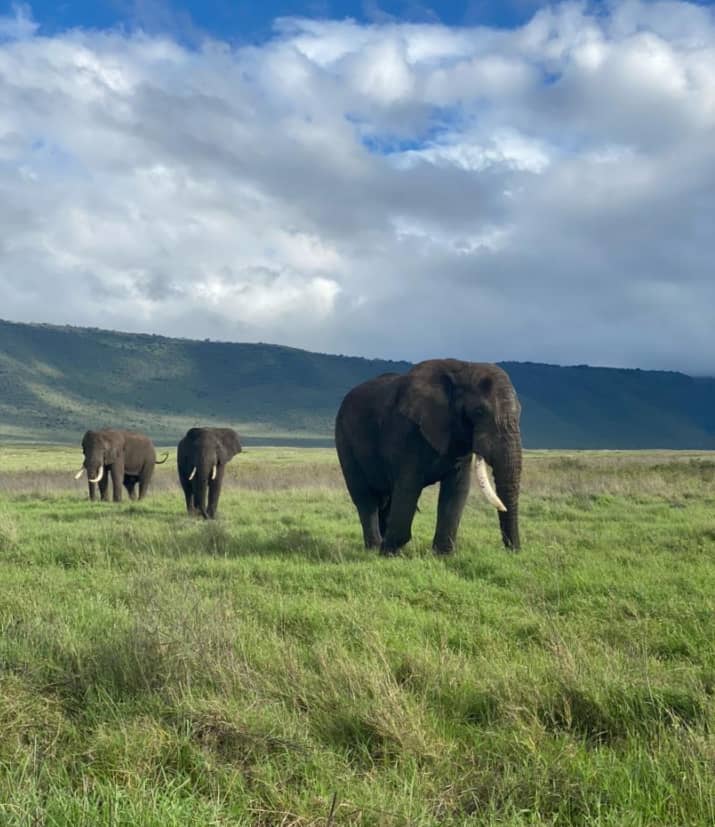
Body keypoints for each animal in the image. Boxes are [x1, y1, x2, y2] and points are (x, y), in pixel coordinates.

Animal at [332, 358, 524, 556]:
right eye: (479, 411)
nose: (514, 551)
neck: (464, 368)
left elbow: (457, 488)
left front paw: (443, 555)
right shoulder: (407, 431)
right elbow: (408, 487)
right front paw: (389, 553)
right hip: (344, 438)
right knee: (365, 497)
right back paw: (375, 548)